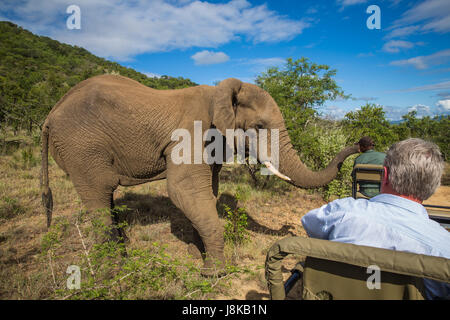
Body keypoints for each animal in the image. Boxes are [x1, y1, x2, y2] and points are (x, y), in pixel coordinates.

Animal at [41, 74, 358, 276]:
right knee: (99, 197)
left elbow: (209, 192)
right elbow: (186, 190)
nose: (362, 143)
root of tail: (50, 115)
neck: (220, 93)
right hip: (82, 147)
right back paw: (114, 271)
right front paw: (215, 273)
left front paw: (198, 257)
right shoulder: (192, 135)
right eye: (258, 126)